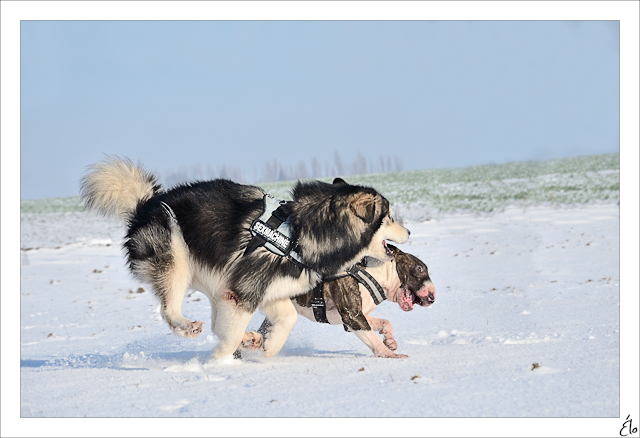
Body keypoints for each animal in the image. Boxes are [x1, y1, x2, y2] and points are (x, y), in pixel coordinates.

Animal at [80, 157, 410, 360]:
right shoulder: (245, 290)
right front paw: (218, 363)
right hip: (175, 255)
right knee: (169, 309)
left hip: (213, 281)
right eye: (390, 217)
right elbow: (232, 334)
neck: (301, 234)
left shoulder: (264, 289)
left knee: (216, 323)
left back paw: (248, 339)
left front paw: (266, 347)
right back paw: (187, 327)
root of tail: (145, 204)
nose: (408, 231)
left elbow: (286, 318)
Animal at [240, 245, 436, 358]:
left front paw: (390, 340)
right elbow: (372, 338)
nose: (433, 297)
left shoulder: (355, 317)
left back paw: (251, 342)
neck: (374, 273)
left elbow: (385, 323)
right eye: (420, 268)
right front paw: (388, 353)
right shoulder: (353, 317)